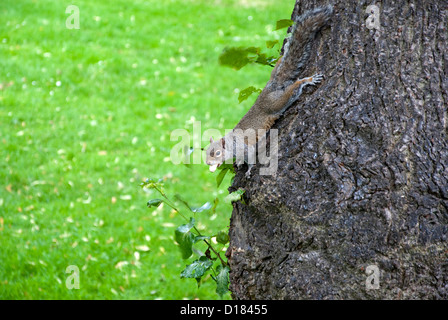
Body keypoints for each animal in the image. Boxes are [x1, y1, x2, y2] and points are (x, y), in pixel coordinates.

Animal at [206, 4, 332, 175]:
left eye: (217, 152)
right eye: (206, 151)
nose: (207, 163)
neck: (232, 144)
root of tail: (272, 86)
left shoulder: (245, 147)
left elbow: (251, 157)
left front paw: (248, 169)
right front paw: (239, 162)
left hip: (276, 102)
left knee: (293, 89)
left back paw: (307, 80)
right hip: (275, 78)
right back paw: (284, 53)